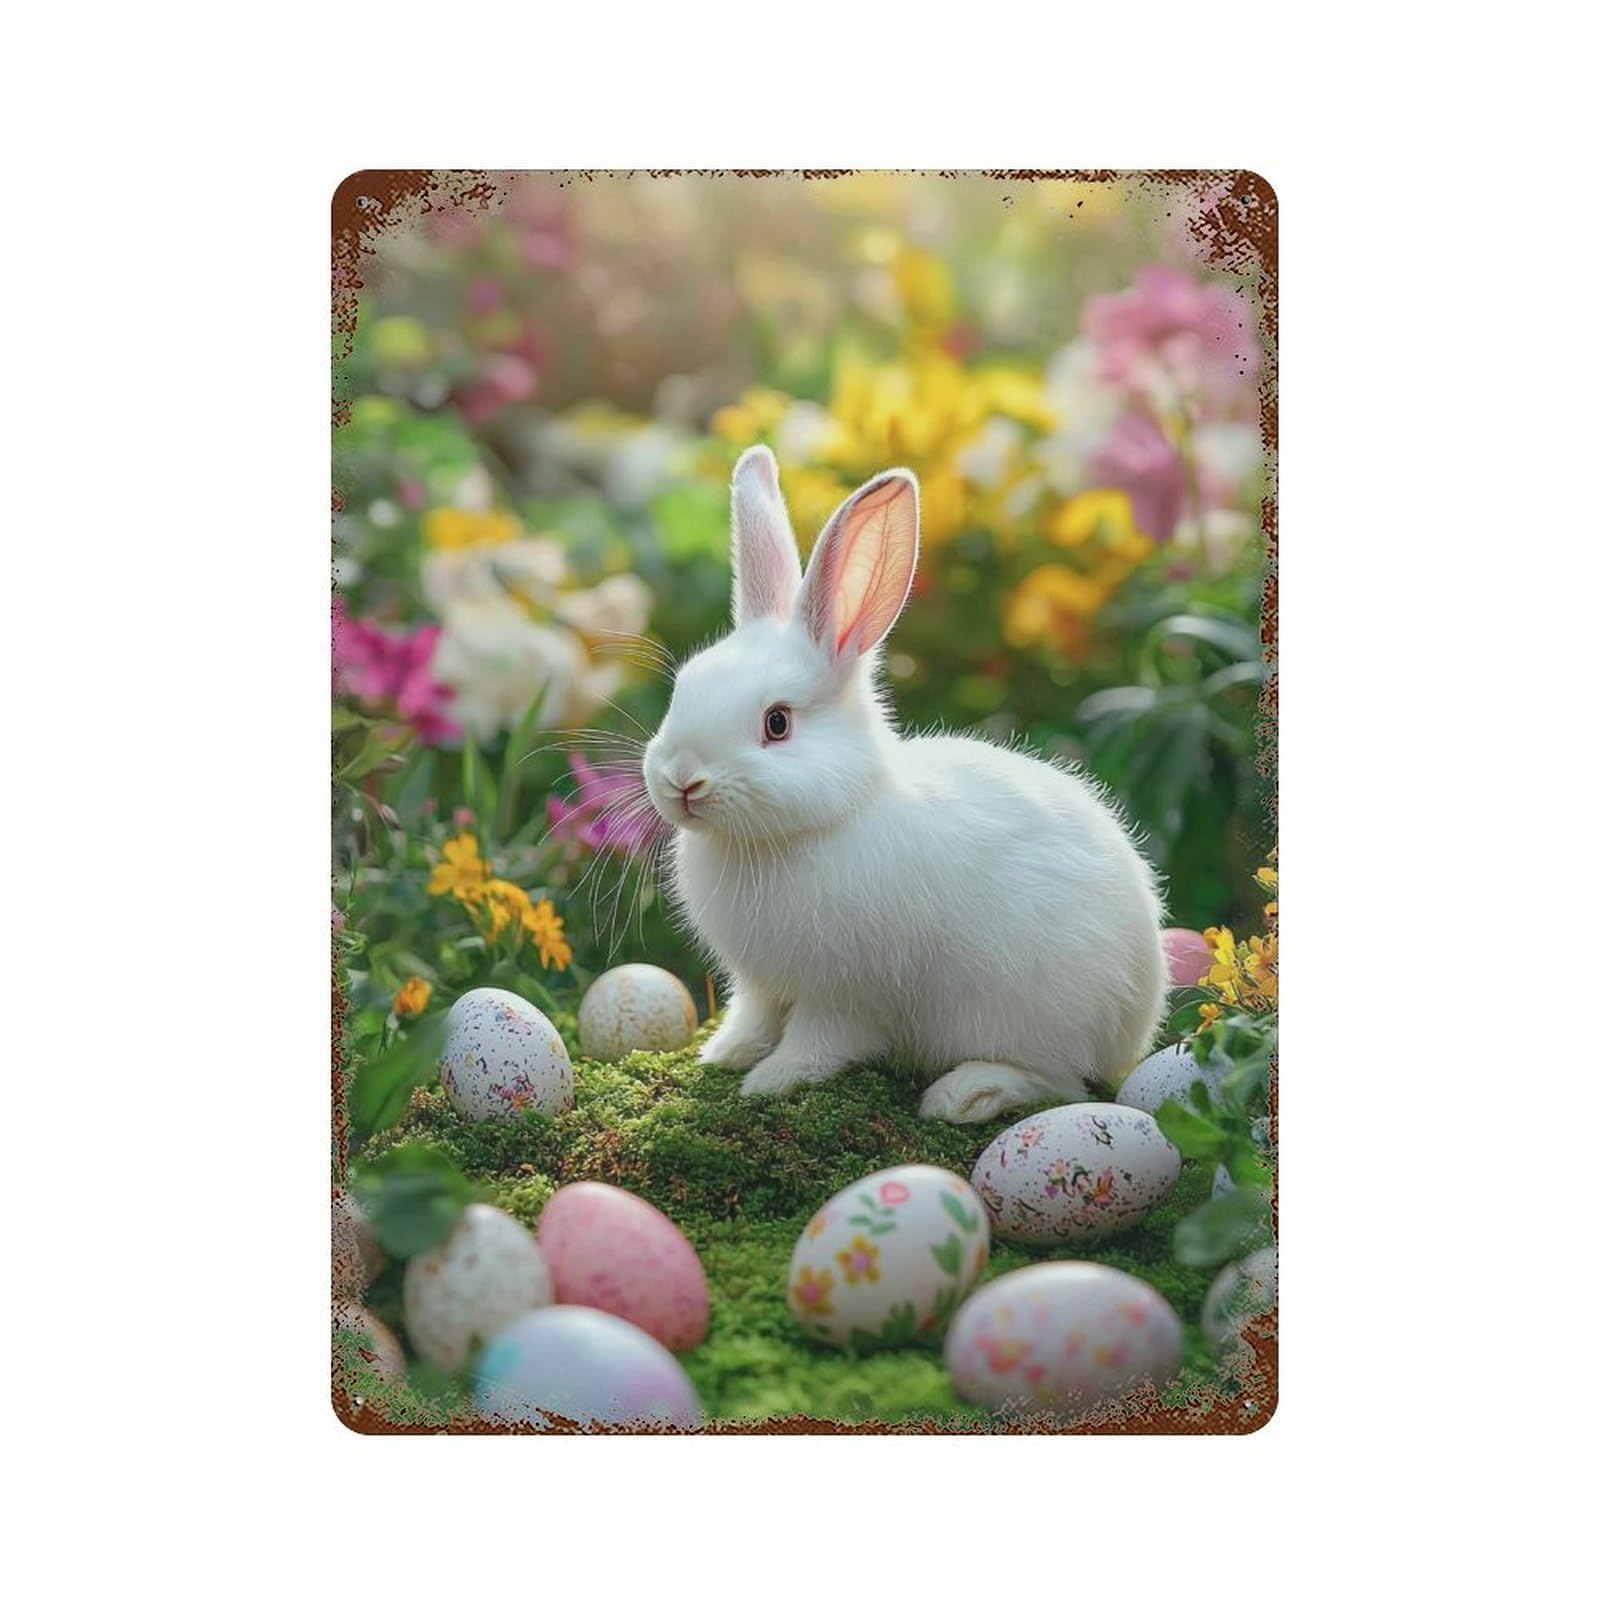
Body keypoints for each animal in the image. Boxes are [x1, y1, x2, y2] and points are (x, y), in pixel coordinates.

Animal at [640, 444, 1168, 1123]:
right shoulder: (759, 983)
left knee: (1059, 1082)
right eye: (682, 689)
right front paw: (726, 1055)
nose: (683, 780)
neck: (819, 824)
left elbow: (820, 1042)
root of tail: (1134, 1025)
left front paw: (772, 1081)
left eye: (777, 723)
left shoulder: (845, 994)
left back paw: (967, 1093)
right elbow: (753, 1017)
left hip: (1021, 1009)